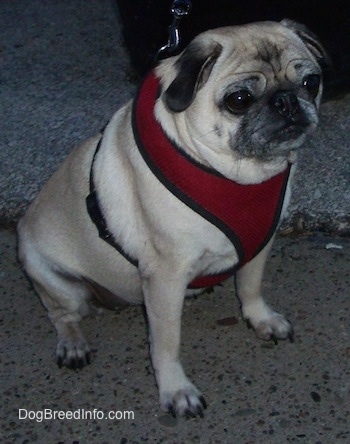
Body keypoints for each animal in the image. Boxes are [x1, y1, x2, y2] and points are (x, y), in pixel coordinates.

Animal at [17, 20, 330, 416]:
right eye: (239, 100)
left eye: (311, 82)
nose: (286, 100)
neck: (240, 176)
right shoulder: (165, 277)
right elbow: (166, 344)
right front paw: (176, 389)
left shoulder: (260, 244)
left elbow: (250, 287)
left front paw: (260, 318)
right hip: (53, 279)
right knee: (63, 315)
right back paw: (72, 343)